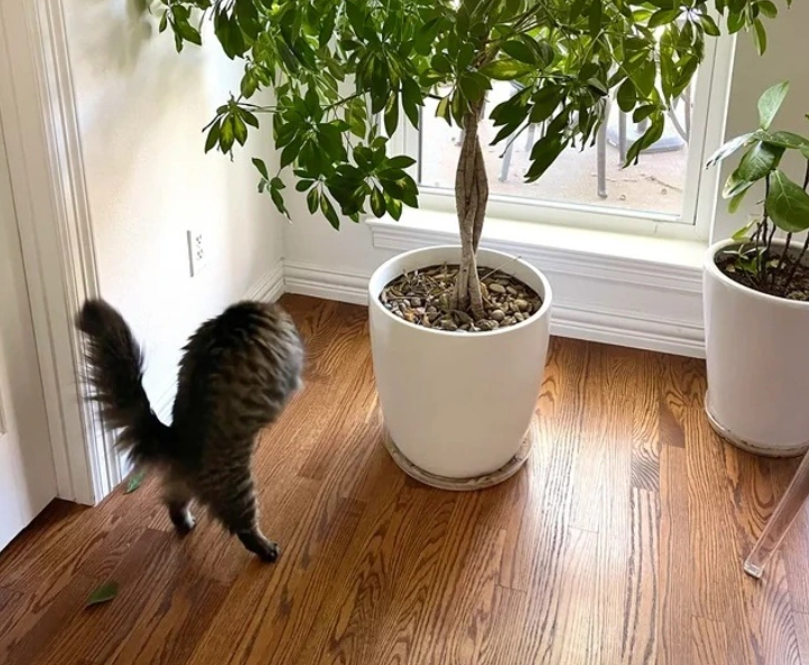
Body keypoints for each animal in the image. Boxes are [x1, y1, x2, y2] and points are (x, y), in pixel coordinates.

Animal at [75, 298, 304, 562]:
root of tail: (176, 440)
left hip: (183, 483)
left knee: (174, 505)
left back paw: (185, 524)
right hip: (238, 487)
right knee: (244, 528)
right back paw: (266, 549)